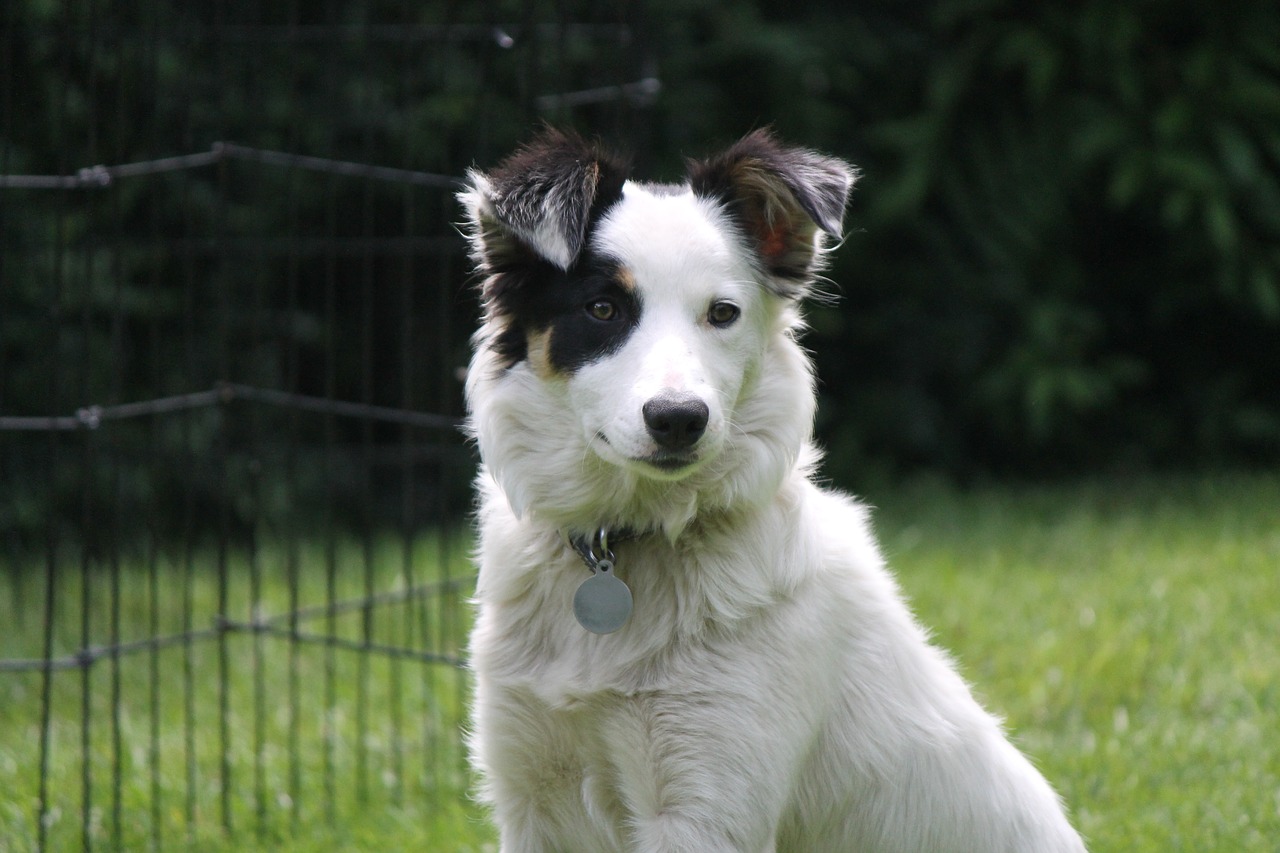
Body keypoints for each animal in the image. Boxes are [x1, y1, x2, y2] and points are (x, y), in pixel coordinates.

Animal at [458, 128, 1080, 850]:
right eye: (602, 308)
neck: (629, 542)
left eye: (723, 313)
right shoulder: (533, 795)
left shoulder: (706, 807)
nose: (678, 418)